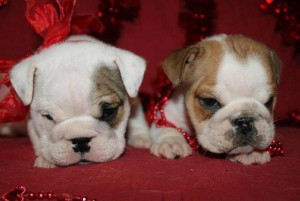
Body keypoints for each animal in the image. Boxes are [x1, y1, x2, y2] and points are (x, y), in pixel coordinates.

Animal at [11, 35, 147, 168]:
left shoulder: (134, 97)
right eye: (48, 117)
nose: (80, 140)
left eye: (109, 112)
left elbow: (137, 117)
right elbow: (37, 138)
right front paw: (46, 160)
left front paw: (142, 137)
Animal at [129, 33, 282, 164]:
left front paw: (252, 152)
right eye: (210, 102)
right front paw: (172, 142)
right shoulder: (166, 115)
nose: (244, 120)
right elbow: (167, 128)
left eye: (269, 101)